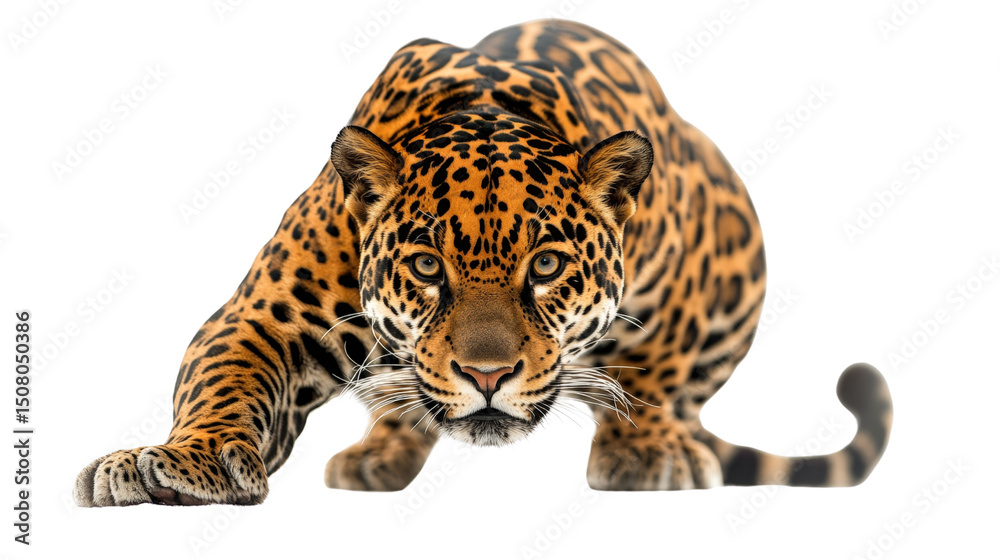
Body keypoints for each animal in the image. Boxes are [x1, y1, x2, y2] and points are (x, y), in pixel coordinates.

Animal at [74, 19, 892, 506]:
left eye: (548, 266)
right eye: (427, 267)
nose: (488, 376)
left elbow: (657, 367)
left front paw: (646, 452)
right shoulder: (266, 316)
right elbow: (224, 381)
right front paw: (183, 461)